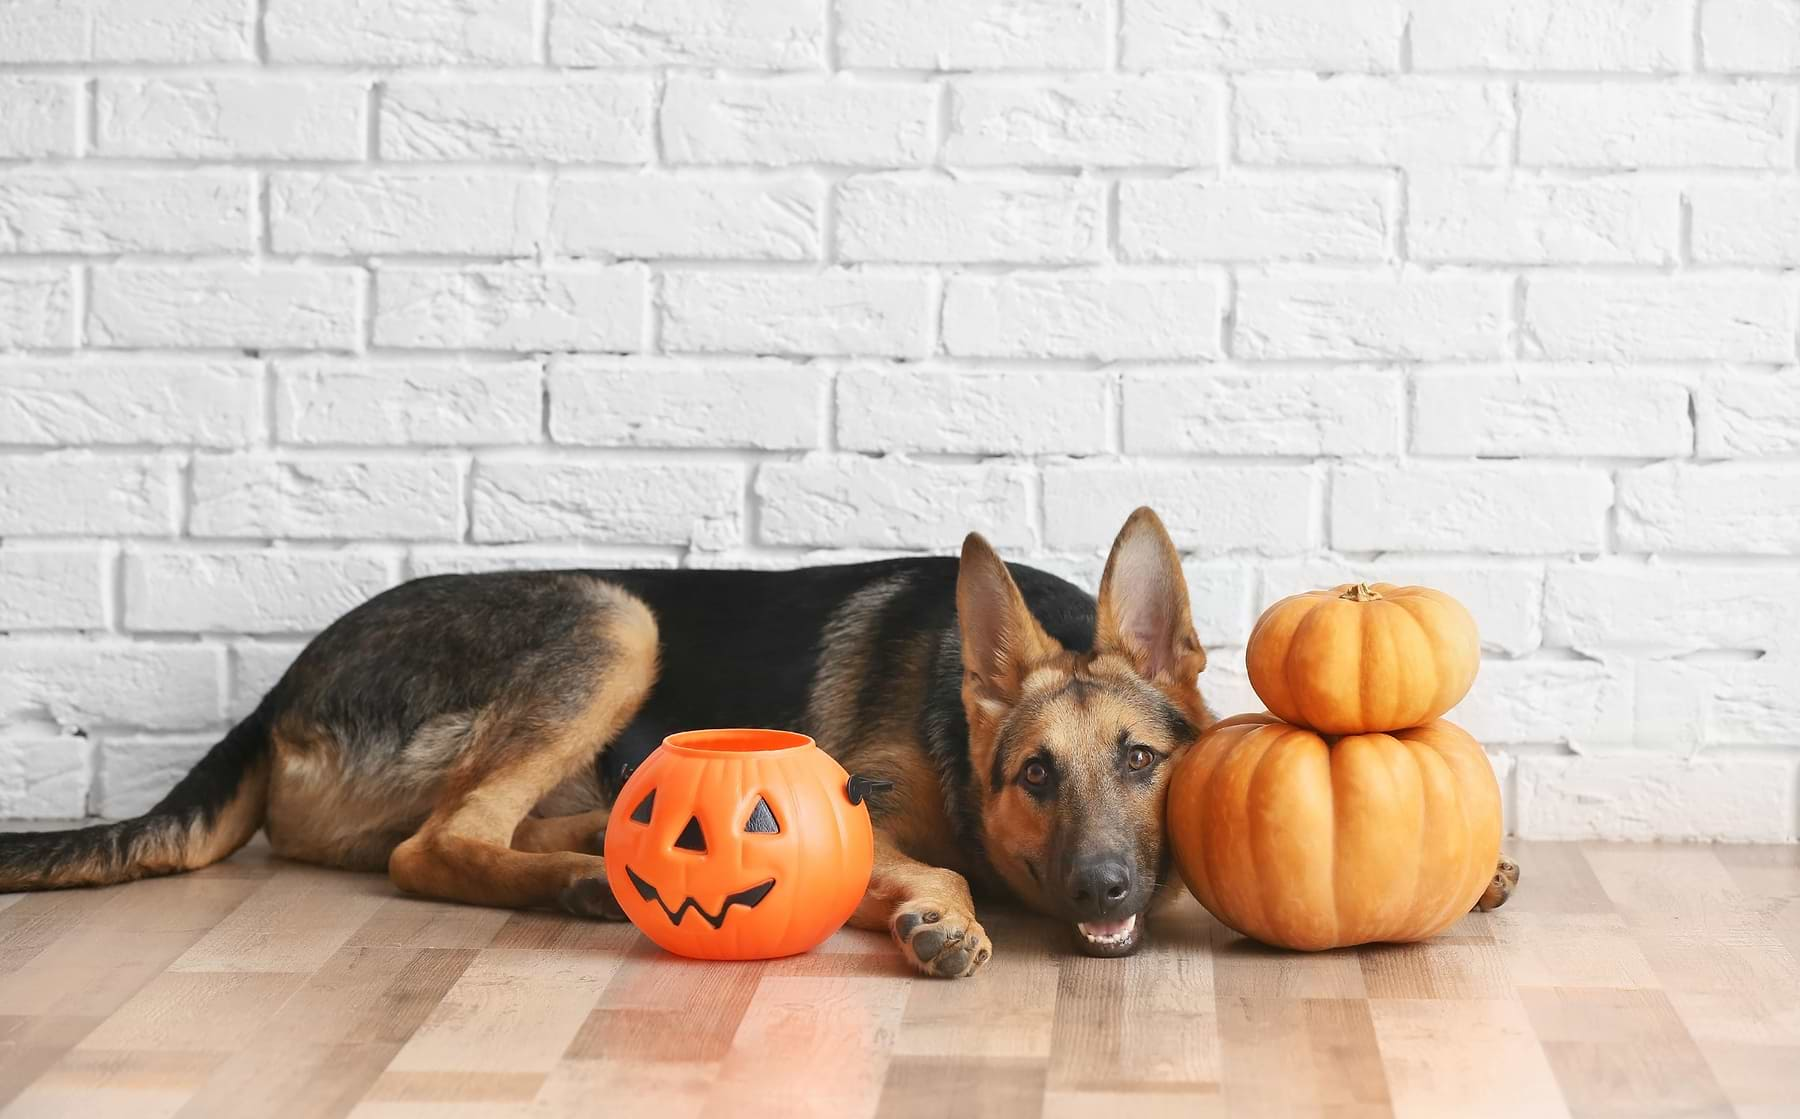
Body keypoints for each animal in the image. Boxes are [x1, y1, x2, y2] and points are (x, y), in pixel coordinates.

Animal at [0, 514, 1519, 978]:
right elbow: (932, 870)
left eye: (1143, 764)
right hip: (610, 616)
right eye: (1034, 774)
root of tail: (277, 684)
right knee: (438, 847)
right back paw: (574, 883)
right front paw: (936, 916)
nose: (1102, 889)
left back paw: (593, 857)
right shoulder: (870, 811)